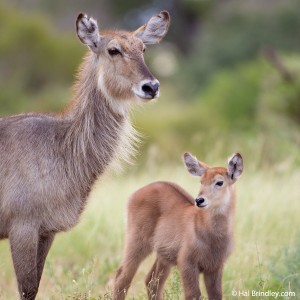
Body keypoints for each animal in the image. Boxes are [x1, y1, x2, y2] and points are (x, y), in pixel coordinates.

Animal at [0, 10, 170, 298]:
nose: (151, 87)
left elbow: (34, 286)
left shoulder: (46, 232)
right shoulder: (22, 228)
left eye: (143, 48)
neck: (61, 146)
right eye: (113, 50)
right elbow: (26, 288)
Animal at [113, 154, 243, 298]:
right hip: (137, 241)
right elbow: (193, 294)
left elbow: (216, 295)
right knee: (122, 277)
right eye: (201, 181)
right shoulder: (187, 263)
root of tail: (134, 194)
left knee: (152, 282)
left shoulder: (215, 267)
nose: (199, 200)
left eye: (219, 182)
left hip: (163, 255)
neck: (213, 237)